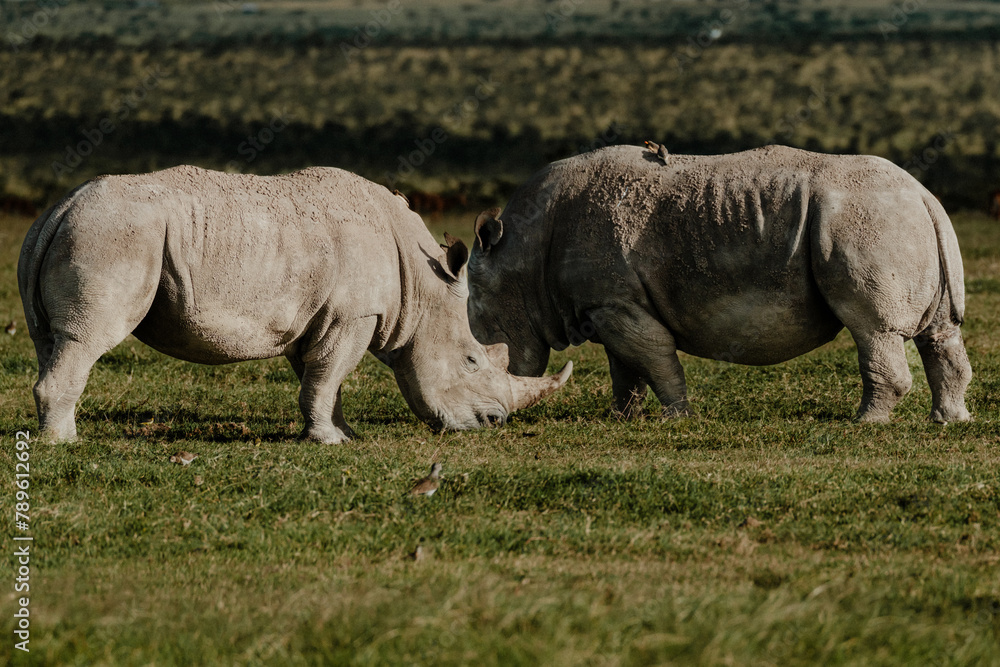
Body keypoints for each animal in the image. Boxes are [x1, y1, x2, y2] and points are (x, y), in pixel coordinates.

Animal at [18, 165, 572, 443]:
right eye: (472, 360)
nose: (494, 424)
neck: (421, 285)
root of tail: (60, 207)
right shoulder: (354, 315)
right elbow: (328, 375)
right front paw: (330, 442)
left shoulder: (319, 316)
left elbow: (324, 379)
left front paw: (342, 433)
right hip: (115, 237)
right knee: (86, 338)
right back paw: (64, 444)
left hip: (67, 234)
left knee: (51, 340)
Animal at [467, 144, 972, 423]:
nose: (494, 415)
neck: (518, 254)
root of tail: (924, 194)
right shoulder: (606, 302)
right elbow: (625, 366)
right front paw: (621, 420)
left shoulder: (612, 302)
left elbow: (653, 357)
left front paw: (677, 419)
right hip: (897, 218)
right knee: (939, 332)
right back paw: (950, 422)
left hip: (865, 221)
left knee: (873, 329)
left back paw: (865, 423)